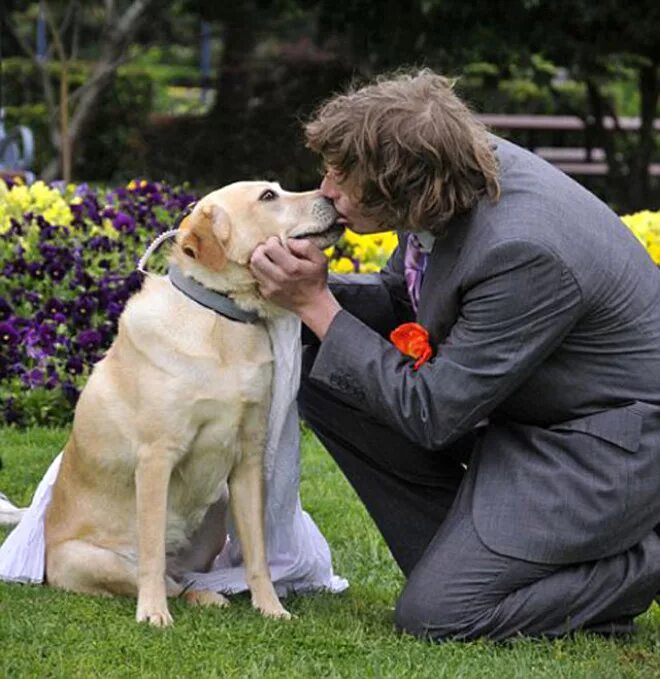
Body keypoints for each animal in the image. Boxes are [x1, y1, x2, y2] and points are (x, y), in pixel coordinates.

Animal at [44, 181, 342, 628]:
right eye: (269, 196)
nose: (332, 198)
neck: (224, 319)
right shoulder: (155, 458)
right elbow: (151, 554)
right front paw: (152, 613)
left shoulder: (248, 459)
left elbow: (258, 555)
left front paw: (271, 607)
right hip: (84, 558)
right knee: (159, 575)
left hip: (217, 507)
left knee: (183, 579)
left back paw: (208, 596)